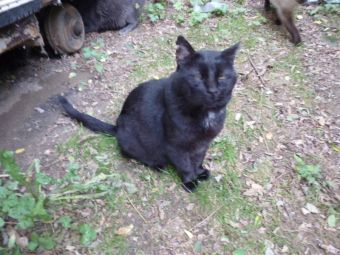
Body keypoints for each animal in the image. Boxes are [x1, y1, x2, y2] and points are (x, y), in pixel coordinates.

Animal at [59, 35, 239, 191]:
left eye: (222, 77)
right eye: (198, 77)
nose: (213, 90)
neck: (205, 114)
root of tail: (117, 126)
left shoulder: (203, 143)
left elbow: (198, 158)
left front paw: (200, 172)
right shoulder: (175, 145)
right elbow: (185, 164)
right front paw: (190, 182)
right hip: (131, 140)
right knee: (128, 153)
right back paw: (157, 165)